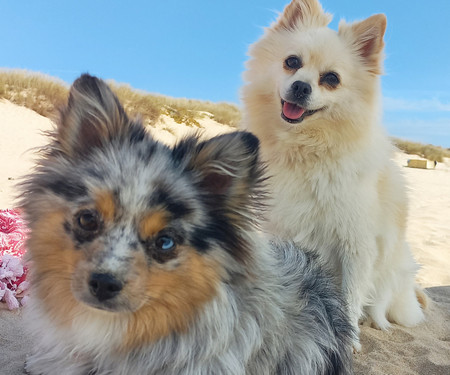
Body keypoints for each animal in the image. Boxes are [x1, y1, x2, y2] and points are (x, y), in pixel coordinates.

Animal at [241, 0, 424, 350]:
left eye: (331, 79)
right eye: (292, 62)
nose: (301, 86)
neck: (307, 153)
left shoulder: (355, 245)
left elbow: (351, 294)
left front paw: (348, 340)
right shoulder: (283, 232)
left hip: (395, 267)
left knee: (379, 302)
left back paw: (373, 321)